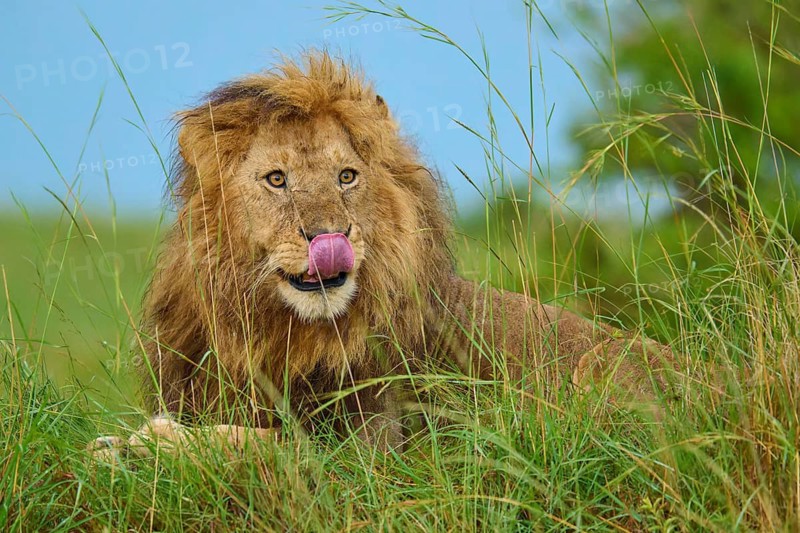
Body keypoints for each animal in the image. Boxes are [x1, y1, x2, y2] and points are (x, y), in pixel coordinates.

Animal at [90, 51, 678, 458]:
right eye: (277, 180)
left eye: (347, 177)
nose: (329, 235)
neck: (278, 329)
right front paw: (121, 444)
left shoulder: (373, 446)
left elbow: (271, 440)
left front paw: (152, 443)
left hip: (605, 365)